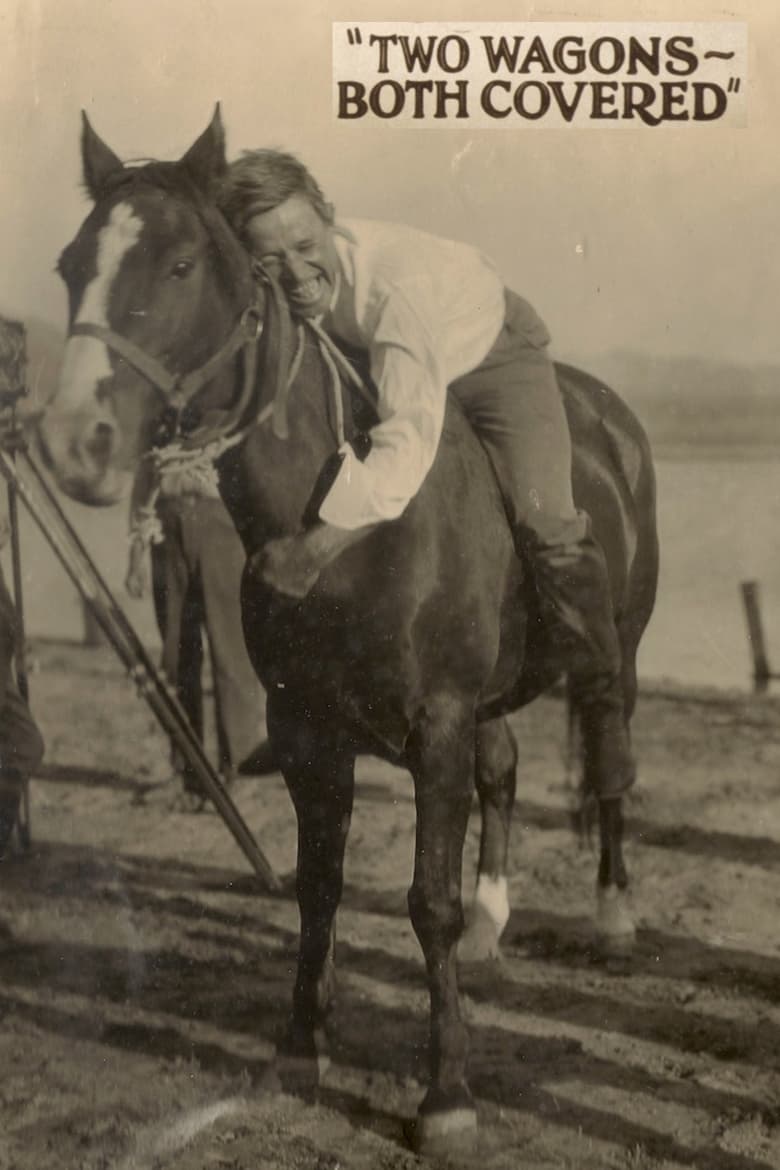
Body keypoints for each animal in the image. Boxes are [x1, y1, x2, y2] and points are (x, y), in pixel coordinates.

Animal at [41, 111, 659, 1160]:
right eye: (71, 264)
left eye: (179, 264)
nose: (74, 441)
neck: (346, 523)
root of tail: (612, 417)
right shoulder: (308, 735)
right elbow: (318, 887)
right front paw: (300, 1050)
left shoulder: (435, 724)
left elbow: (426, 903)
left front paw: (445, 1096)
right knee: (505, 771)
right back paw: (496, 921)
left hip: (613, 651)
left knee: (610, 761)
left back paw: (614, 916)